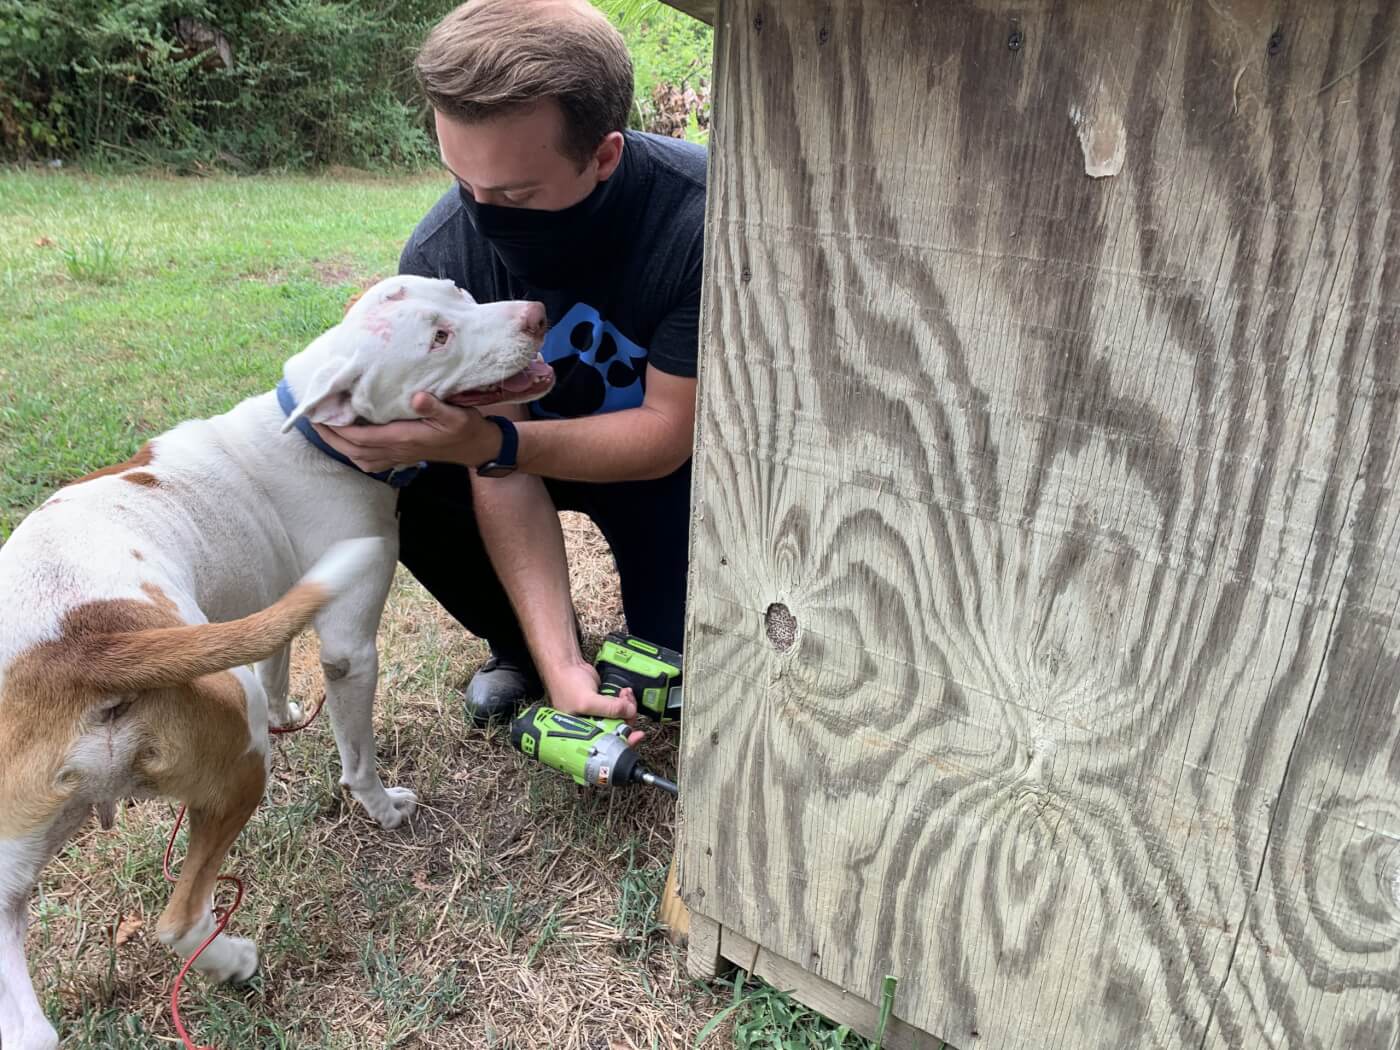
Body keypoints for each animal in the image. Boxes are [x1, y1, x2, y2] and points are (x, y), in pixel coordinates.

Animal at [0, 273, 557, 1050]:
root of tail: (85, 647)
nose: (536, 314)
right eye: (438, 339)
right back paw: (232, 959)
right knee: (179, 917)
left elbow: (277, 660)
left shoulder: (272, 597)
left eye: (458, 292)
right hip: (237, 765)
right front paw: (383, 809)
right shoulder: (351, 649)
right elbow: (357, 755)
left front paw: (292, 707)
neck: (317, 436)